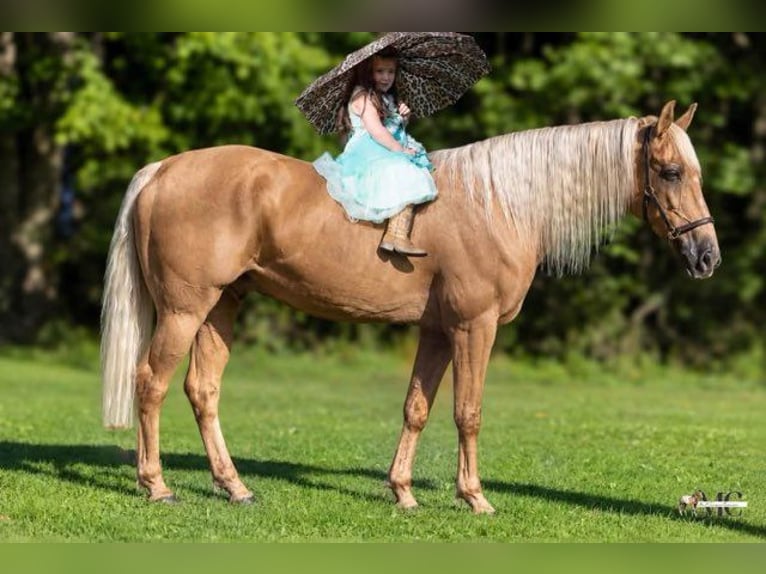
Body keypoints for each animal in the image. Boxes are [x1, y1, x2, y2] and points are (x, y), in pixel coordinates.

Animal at [101, 100, 720, 514]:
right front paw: (475, 497)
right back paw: (156, 485)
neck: (498, 204)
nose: (707, 256)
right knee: (150, 383)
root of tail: (162, 170)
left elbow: (416, 408)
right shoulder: (474, 327)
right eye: (670, 172)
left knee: (202, 391)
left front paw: (401, 492)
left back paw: (235, 487)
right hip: (184, 311)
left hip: (221, 309)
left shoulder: (438, 332)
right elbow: (468, 412)